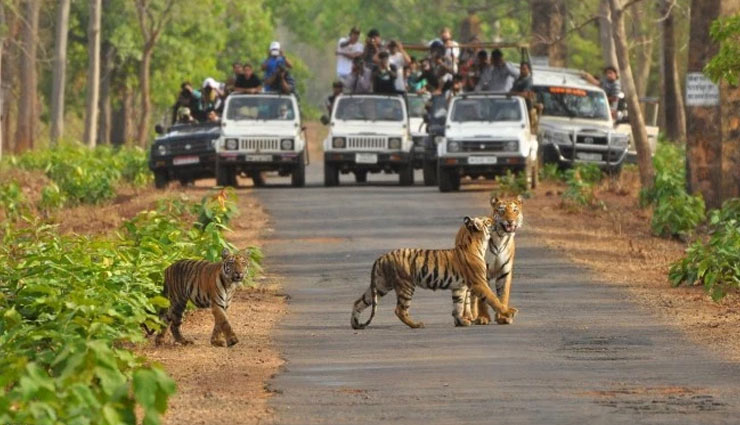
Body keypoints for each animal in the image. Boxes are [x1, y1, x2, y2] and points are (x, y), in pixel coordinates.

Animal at [351, 216, 518, 329]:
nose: (496, 220)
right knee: (400, 310)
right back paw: (416, 324)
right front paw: (509, 312)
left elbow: (458, 306)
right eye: (488, 221)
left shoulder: (459, 287)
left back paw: (355, 324)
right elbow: (493, 299)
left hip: (380, 285)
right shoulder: (479, 283)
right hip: (406, 285)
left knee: (359, 302)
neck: (478, 243)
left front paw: (461, 322)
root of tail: (381, 257)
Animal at [466, 196, 523, 326]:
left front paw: (503, 317)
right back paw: (470, 316)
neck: (501, 238)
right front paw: (483, 317)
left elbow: (503, 295)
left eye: (515, 210)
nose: (510, 221)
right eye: (502, 211)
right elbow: (483, 298)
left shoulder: (505, 272)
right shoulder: (483, 272)